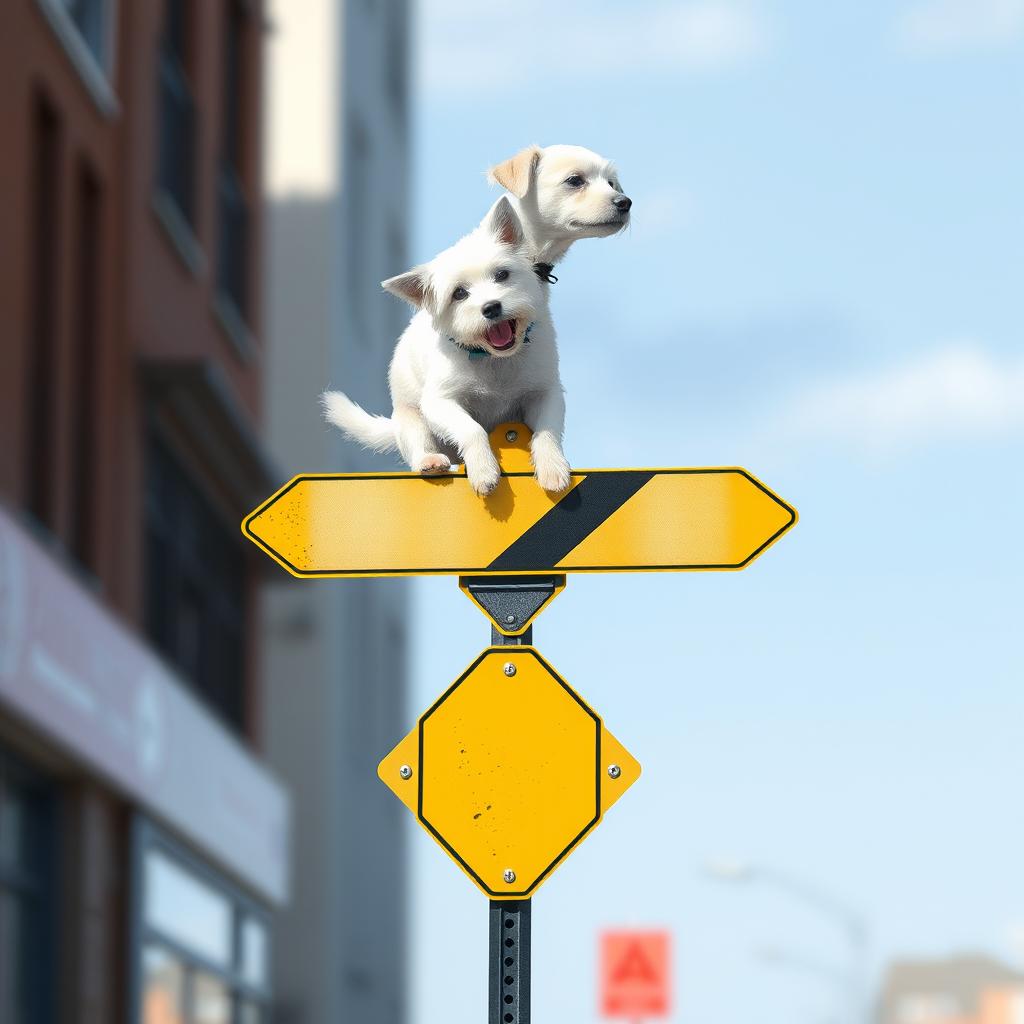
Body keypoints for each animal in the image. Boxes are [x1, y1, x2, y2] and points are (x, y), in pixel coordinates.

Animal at [321, 198, 569, 495]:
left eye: (502, 275)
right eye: (459, 293)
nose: (491, 307)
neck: (493, 359)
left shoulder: (545, 393)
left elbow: (546, 432)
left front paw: (552, 467)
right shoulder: (439, 403)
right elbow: (471, 429)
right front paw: (484, 470)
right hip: (410, 419)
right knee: (419, 444)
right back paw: (429, 461)